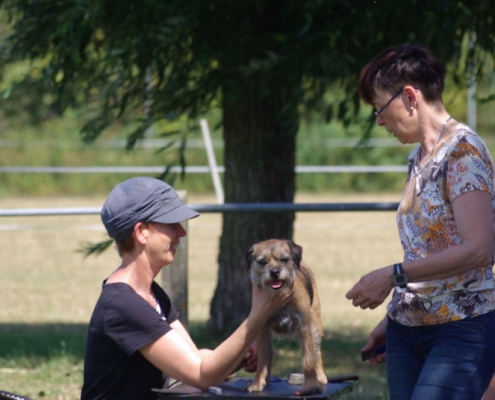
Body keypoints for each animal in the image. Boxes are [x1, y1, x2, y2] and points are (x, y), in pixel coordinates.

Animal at [245, 239, 330, 396]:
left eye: (284, 260)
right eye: (263, 262)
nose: (274, 272)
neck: (280, 296)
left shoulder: (305, 328)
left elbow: (309, 359)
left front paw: (311, 385)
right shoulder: (262, 330)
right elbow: (262, 359)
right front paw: (257, 383)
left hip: (316, 325)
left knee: (317, 350)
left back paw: (320, 377)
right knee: (270, 352)